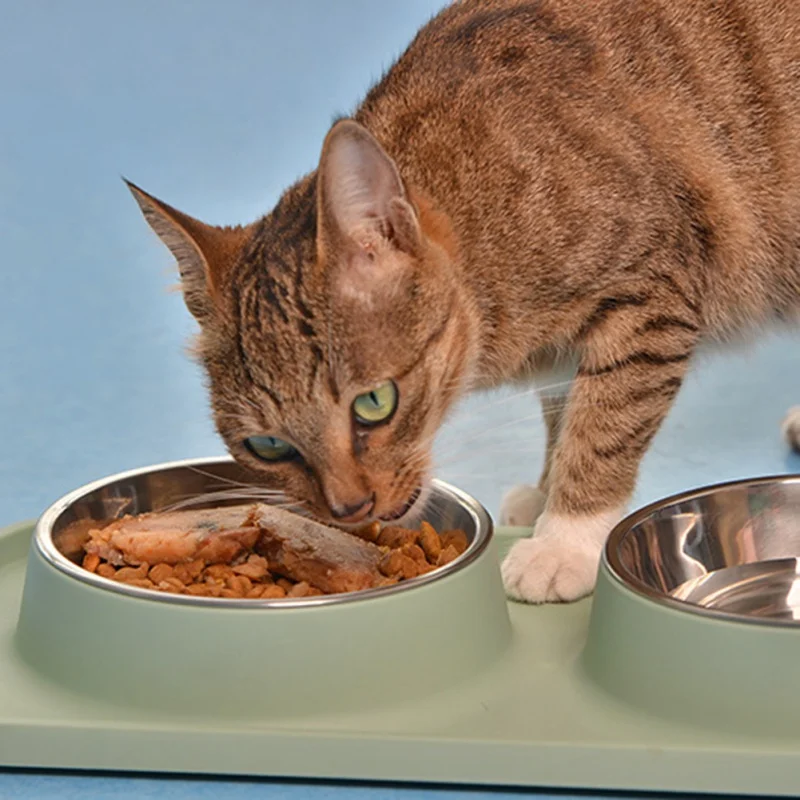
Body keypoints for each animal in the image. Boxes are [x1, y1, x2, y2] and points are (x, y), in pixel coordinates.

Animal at [125, 0, 800, 600]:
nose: (350, 508)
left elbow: (603, 424)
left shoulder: (650, 294)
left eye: (375, 404)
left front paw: (566, 539)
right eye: (267, 447)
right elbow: (564, 406)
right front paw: (546, 488)